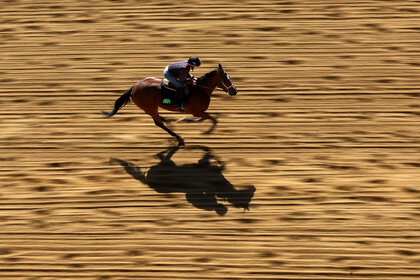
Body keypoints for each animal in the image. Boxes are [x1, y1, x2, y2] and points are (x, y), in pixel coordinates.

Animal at [101, 63, 238, 147]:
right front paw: (207, 131)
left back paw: (169, 121)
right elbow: (213, 119)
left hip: (149, 107)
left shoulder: (198, 112)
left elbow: (203, 118)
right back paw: (178, 137)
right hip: (150, 107)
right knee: (158, 123)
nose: (235, 91)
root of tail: (134, 87)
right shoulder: (196, 111)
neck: (201, 90)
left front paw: (186, 120)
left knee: (158, 119)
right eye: (226, 79)